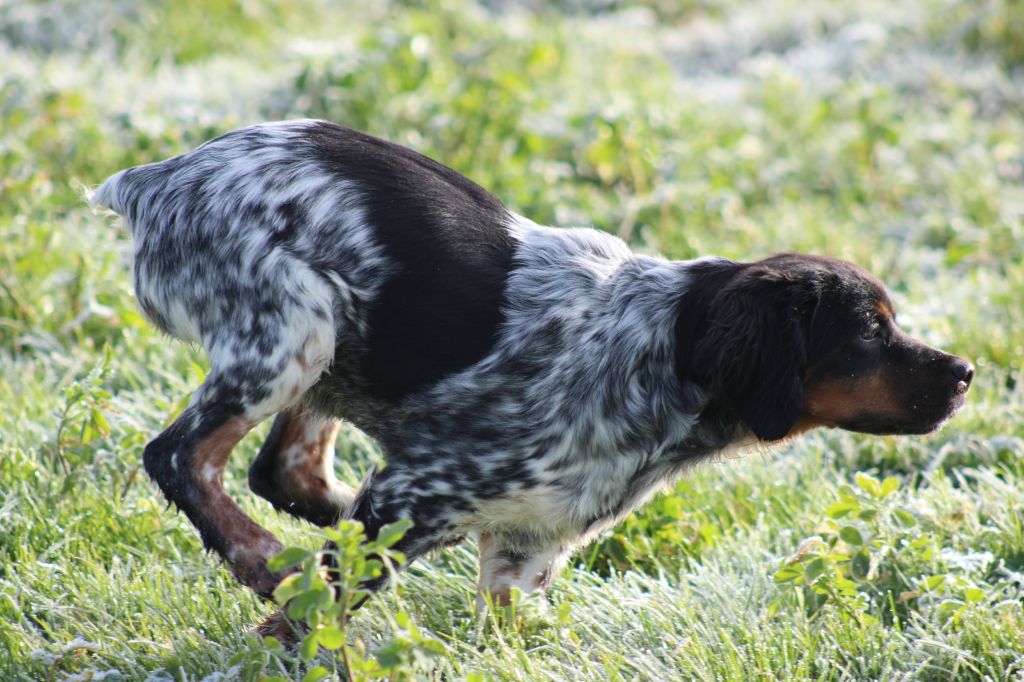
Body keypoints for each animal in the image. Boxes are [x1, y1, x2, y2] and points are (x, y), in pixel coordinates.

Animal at [90, 119, 974, 618]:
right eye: (869, 331)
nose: (965, 372)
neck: (662, 356)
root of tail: (152, 180)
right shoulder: (418, 491)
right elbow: (319, 621)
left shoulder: (522, 552)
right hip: (294, 330)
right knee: (181, 457)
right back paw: (264, 561)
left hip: (334, 348)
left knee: (285, 470)